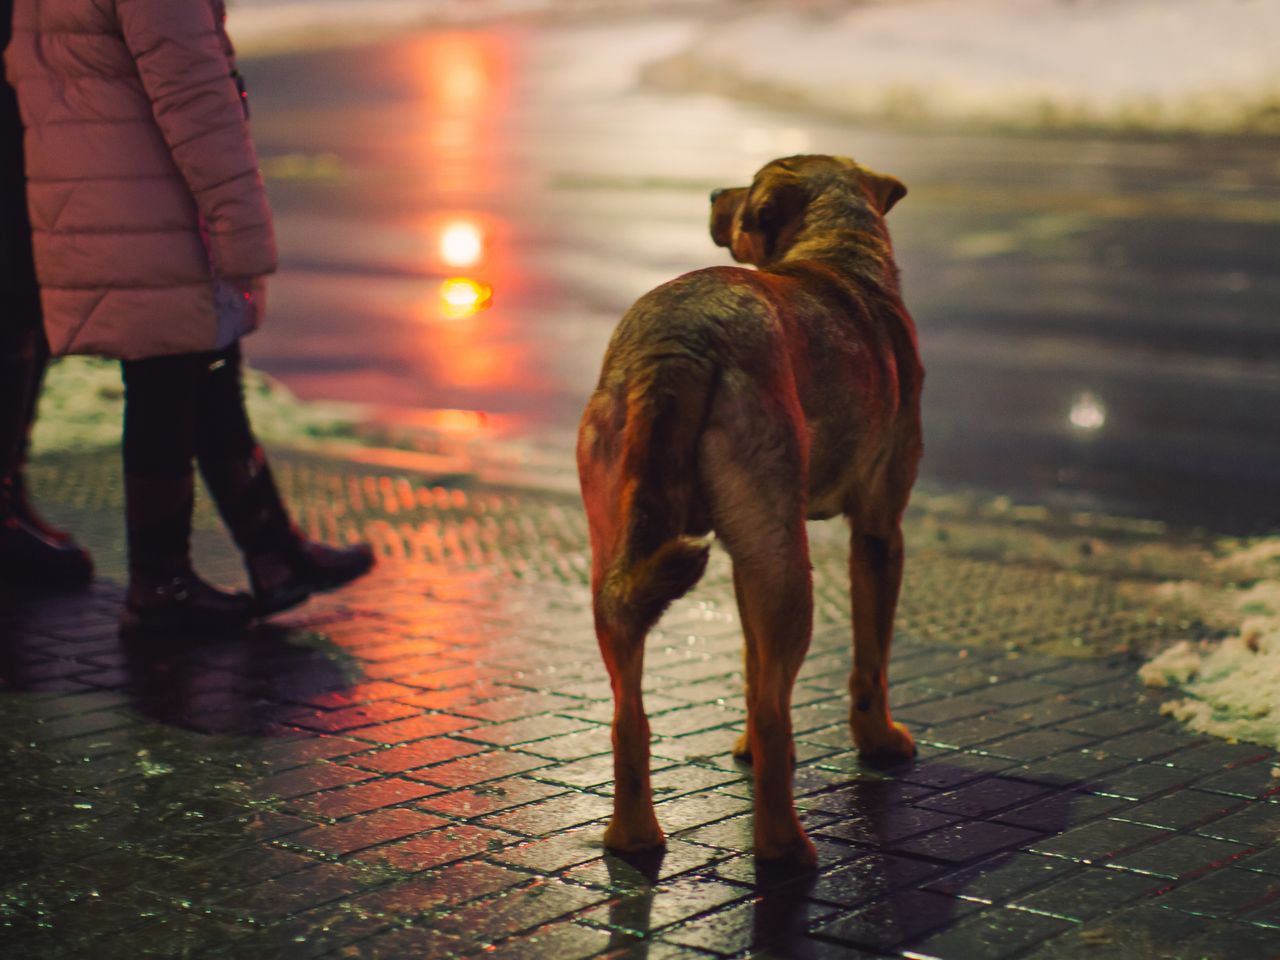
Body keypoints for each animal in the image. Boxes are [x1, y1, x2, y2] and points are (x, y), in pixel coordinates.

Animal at [578, 156, 921, 865]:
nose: (712, 191)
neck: (836, 248)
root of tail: (676, 343)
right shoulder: (880, 530)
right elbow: (870, 659)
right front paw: (879, 740)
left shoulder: (745, 555)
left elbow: (751, 662)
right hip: (791, 571)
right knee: (775, 716)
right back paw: (784, 848)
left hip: (628, 559)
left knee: (629, 715)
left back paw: (633, 838)